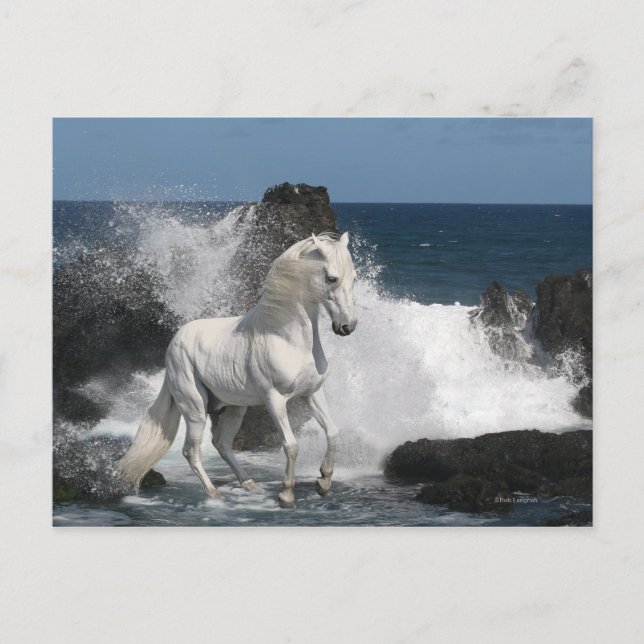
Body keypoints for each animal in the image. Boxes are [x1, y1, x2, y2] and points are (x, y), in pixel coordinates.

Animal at [116, 232, 357, 508]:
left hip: (233, 408)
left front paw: (323, 482)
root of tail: (175, 342)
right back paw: (214, 494)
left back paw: (250, 484)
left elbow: (333, 432)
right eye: (331, 278)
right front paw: (286, 495)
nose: (347, 326)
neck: (288, 338)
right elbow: (291, 445)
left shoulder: (313, 393)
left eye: (354, 278)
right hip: (195, 408)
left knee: (221, 444)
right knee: (191, 450)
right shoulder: (275, 400)